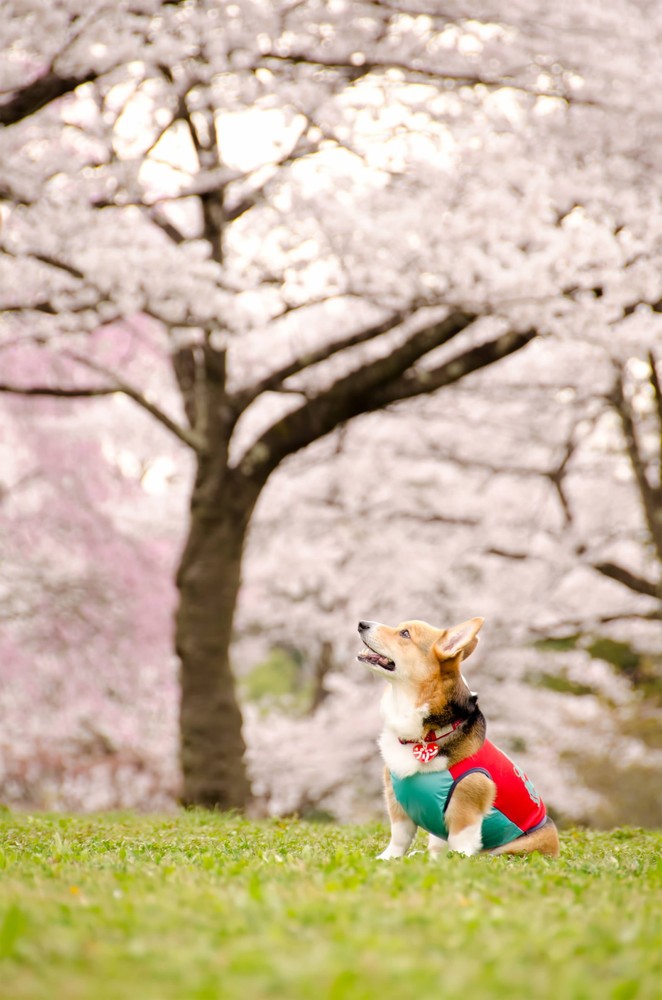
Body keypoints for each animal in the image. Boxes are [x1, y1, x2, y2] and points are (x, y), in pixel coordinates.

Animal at [358, 616, 560, 860]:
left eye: (405, 633)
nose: (361, 623)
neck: (425, 736)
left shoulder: (467, 801)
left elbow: (461, 842)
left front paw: (455, 862)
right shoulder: (397, 803)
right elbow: (399, 838)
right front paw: (387, 858)